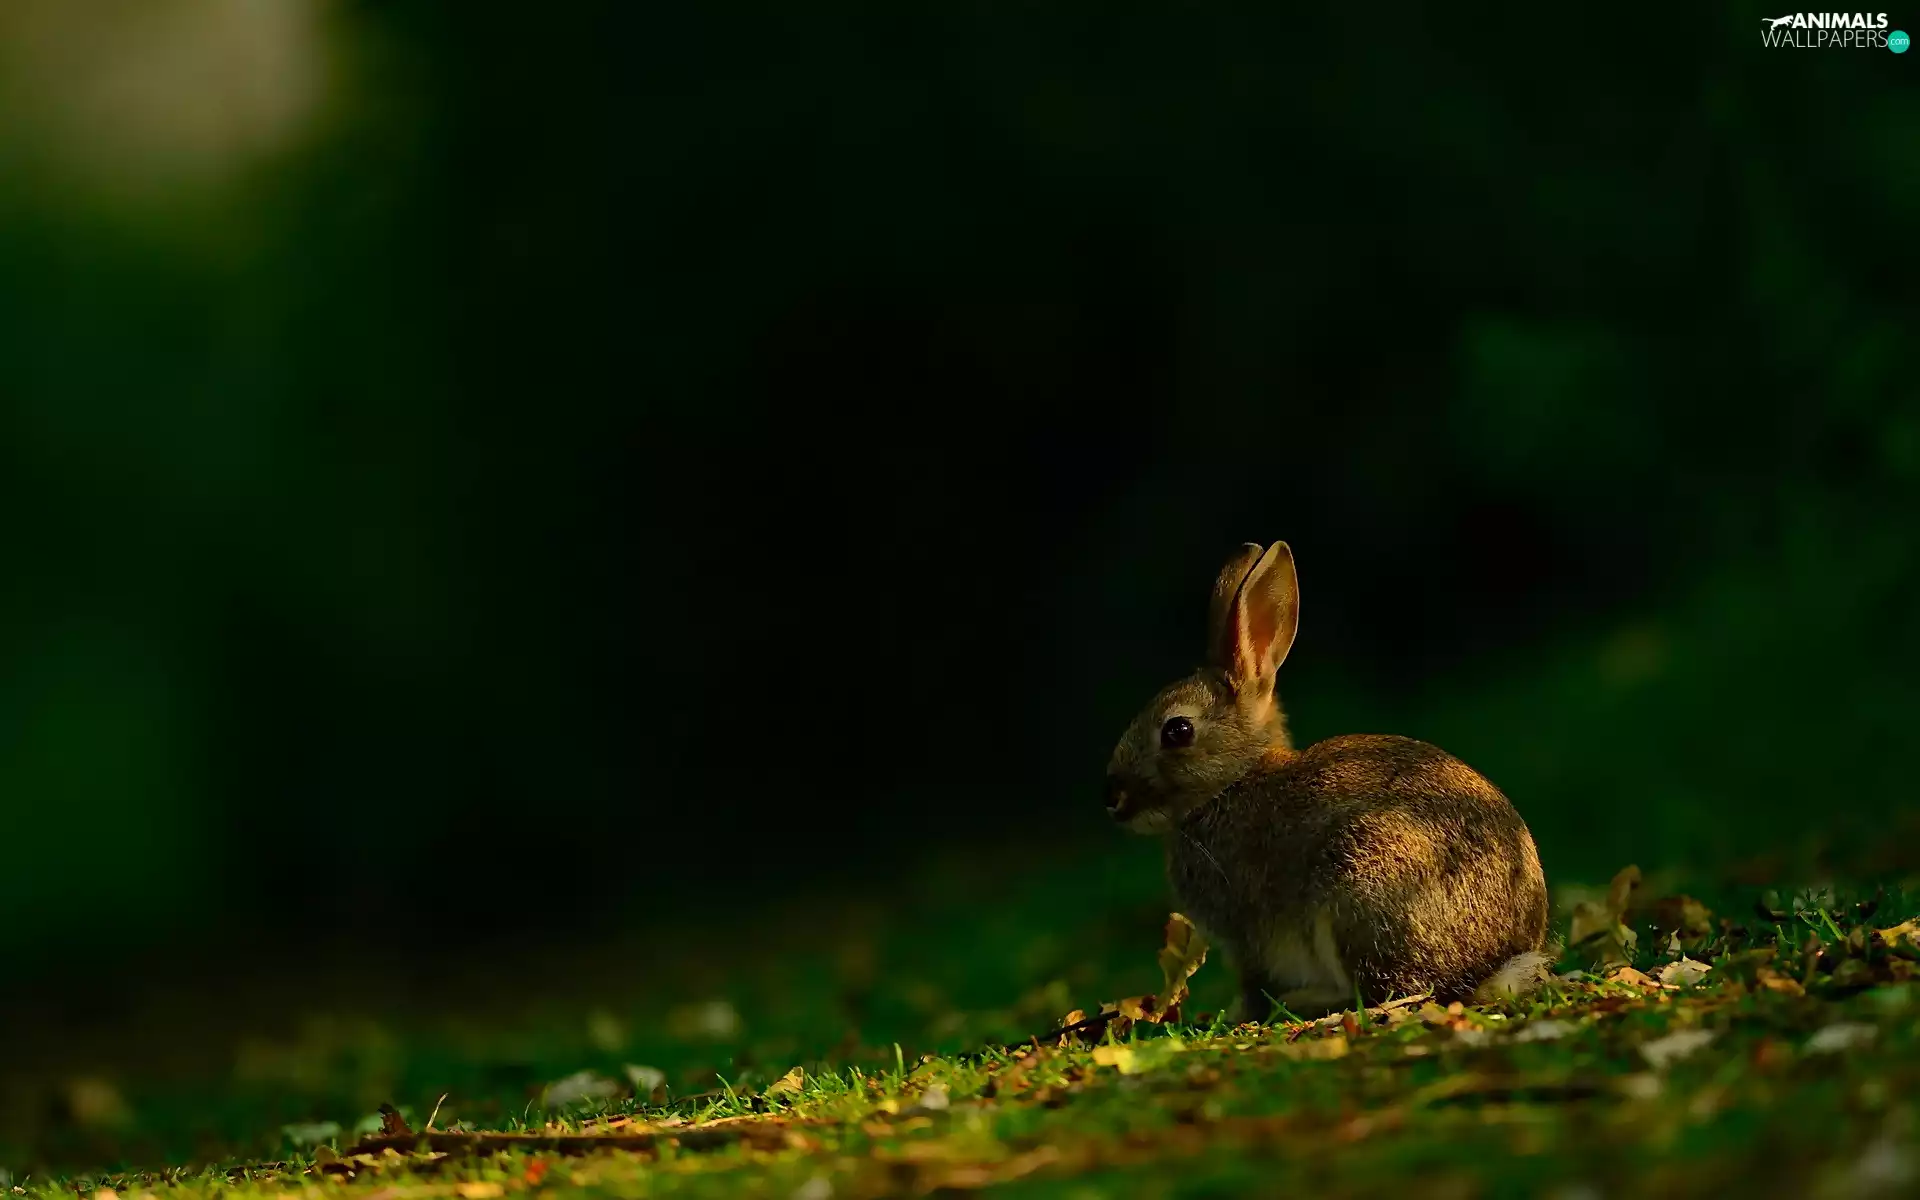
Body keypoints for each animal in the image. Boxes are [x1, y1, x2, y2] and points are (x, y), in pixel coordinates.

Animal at [1104, 541, 1551, 1021]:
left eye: (1177, 731)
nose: (1111, 797)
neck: (1233, 783)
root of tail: (1495, 964)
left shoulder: (1247, 937)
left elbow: (1253, 982)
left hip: (1362, 889)